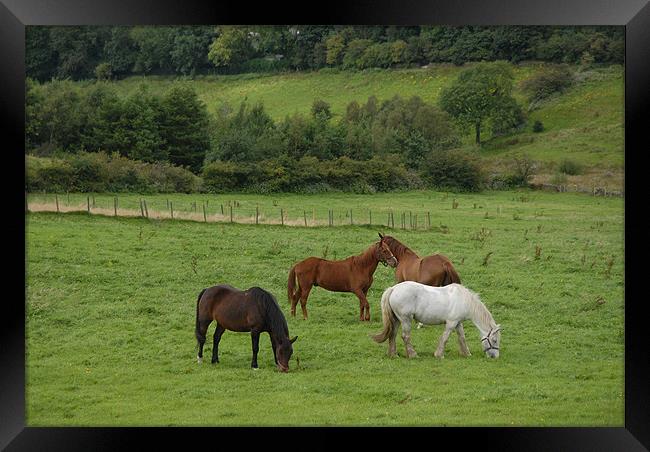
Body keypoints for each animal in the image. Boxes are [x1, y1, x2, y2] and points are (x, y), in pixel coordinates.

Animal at [370, 280, 502, 358]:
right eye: (494, 340)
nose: (495, 356)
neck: (464, 300)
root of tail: (393, 288)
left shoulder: (458, 323)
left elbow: (462, 338)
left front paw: (467, 354)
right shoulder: (451, 323)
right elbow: (445, 338)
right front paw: (439, 355)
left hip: (396, 320)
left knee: (392, 335)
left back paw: (393, 354)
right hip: (405, 319)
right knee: (405, 336)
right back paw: (413, 355)